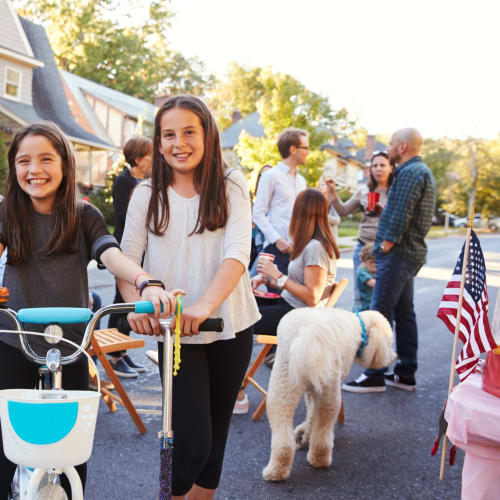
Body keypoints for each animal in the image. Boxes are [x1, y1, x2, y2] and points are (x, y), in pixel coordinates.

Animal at [264, 308, 396, 480]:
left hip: (287, 389)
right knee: (323, 426)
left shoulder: (314, 386)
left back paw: (281, 469)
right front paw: (304, 434)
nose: (394, 356)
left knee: (291, 436)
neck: (359, 326)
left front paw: (304, 435)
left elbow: (311, 415)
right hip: (325, 388)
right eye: (389, 343)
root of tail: (310, 334)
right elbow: (311, 415)